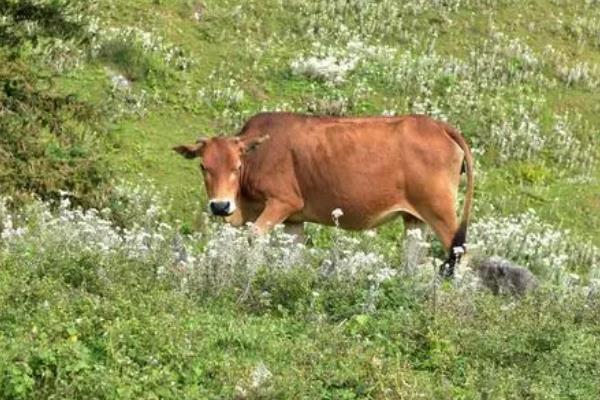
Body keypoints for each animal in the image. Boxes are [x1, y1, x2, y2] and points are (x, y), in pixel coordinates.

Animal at [173, 111, 474, 276]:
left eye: (237, 166)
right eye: (203, 166)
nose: (220, 206)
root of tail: (439, 126)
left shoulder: (282, 203)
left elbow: (255, 237)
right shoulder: (294, 220)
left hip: (441, 213)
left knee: (462, 255)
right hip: (415, 218)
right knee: (413, 256)